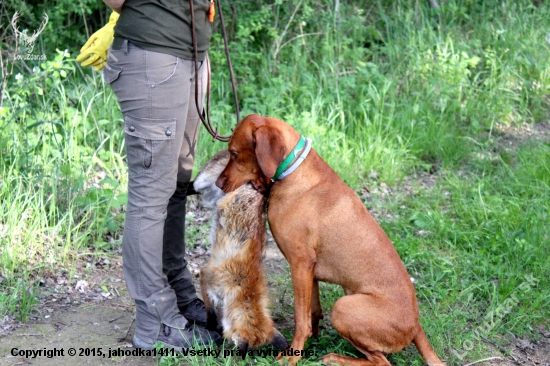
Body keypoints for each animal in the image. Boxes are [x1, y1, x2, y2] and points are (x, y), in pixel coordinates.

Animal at [216, 115, 448, 366]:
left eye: (234, 153)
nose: (218, 183)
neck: (293, 169)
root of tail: (416, 327)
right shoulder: (310, 270)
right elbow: (313, 312)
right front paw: (313, 338)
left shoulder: (300, 263)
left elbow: (301, 320)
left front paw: (292, 355)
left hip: (344, 307)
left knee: (381, 362)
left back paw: (336, 358)